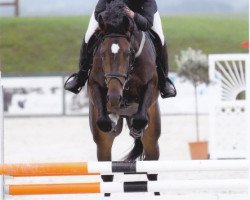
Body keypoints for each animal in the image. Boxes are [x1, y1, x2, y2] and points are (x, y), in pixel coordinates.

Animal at [88, 0, 161, 195]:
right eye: (102, 53)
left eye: (128, 53)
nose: (114, 97)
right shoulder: (93, 84)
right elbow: (102, 120)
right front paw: (110, 120)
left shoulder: (152, 85)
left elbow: (141, 118)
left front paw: (137, 127)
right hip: (102, 146)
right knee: (107, 176)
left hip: (152, 140)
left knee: (153, 173)